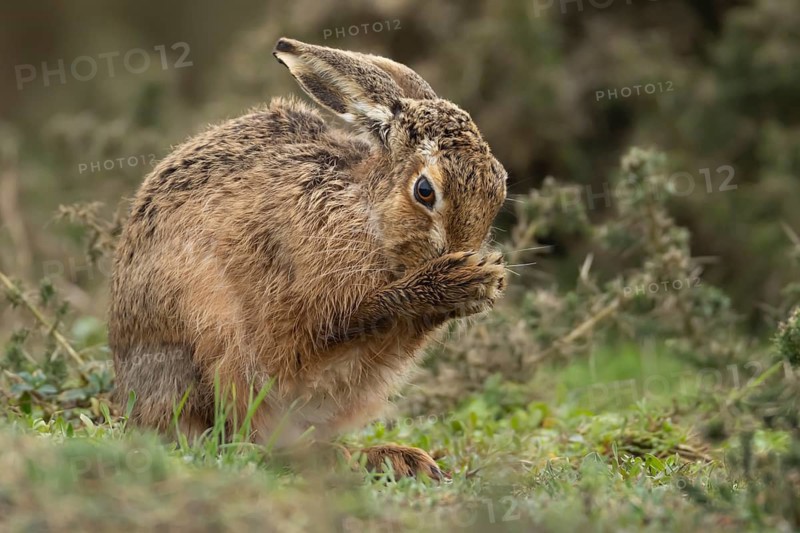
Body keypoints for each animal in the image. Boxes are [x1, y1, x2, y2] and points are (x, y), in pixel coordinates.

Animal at [109, 37, 507, 479]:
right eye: (425, 190)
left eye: (500, 184)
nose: (464, 253)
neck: (367, 215)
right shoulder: (311, 306)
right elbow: (356, 315)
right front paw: (460, 281)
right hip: (208, 347)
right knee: (237, 441)